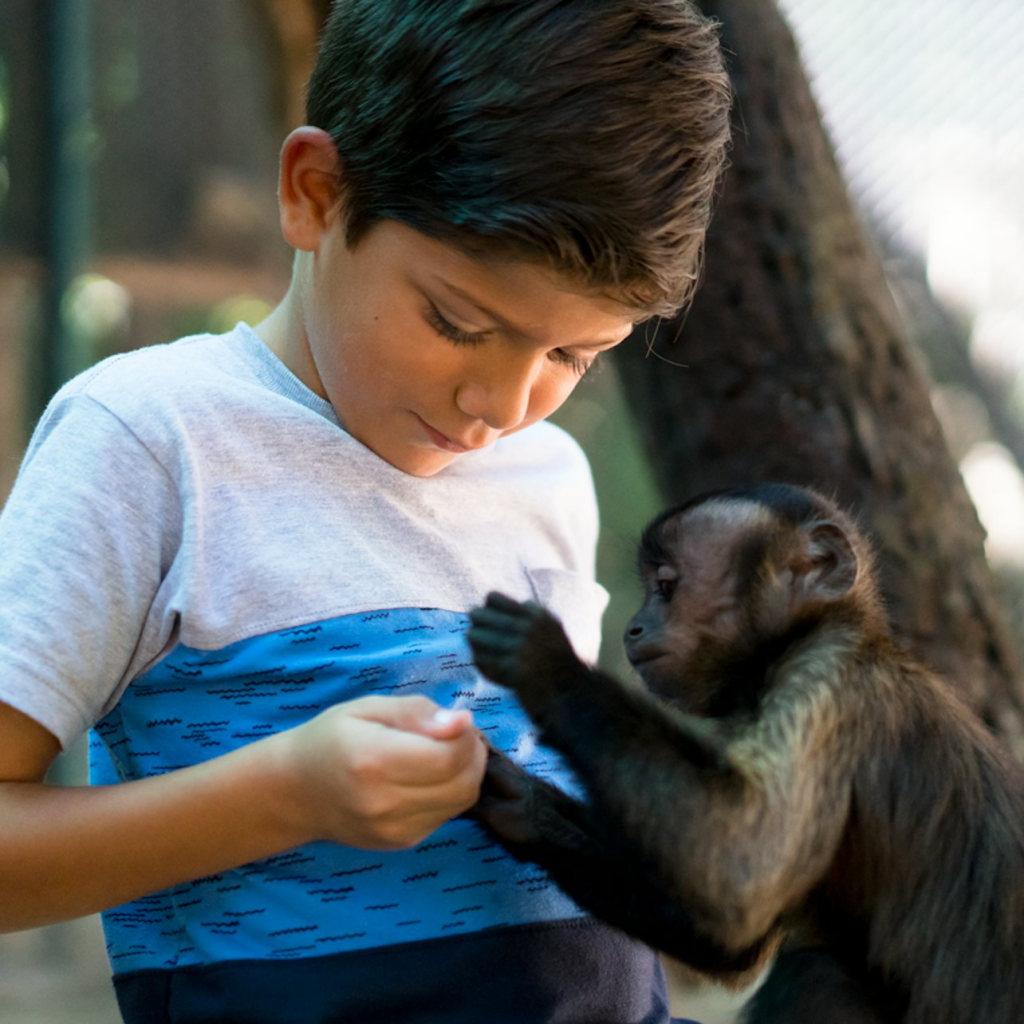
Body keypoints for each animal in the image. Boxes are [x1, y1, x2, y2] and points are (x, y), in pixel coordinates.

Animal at [467, 483, 1024, 1024]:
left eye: (666, 586)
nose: (633, 627)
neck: (796, 642)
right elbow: (731, 935)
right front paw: (529, 809)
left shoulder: (824, 681)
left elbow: (742, 868)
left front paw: (546, 663)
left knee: (814, 975)